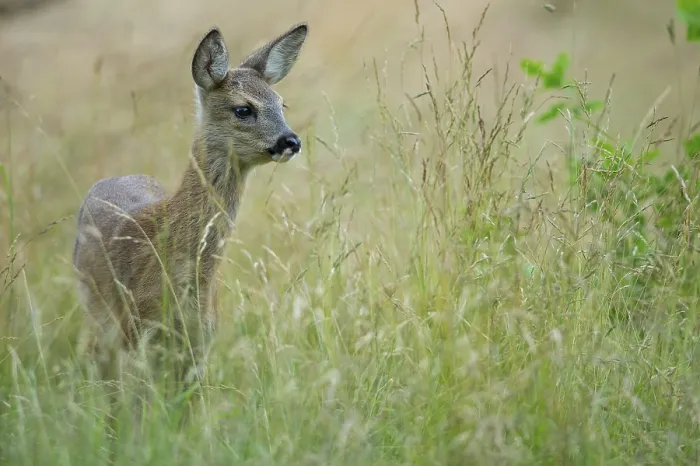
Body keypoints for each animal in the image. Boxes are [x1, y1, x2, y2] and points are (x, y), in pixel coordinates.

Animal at [72, 23, 309, 399]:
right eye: (244, 109)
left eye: (281, 103)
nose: (291, 141)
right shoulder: (137, 331)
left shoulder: (201, 338)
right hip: (98, 315)